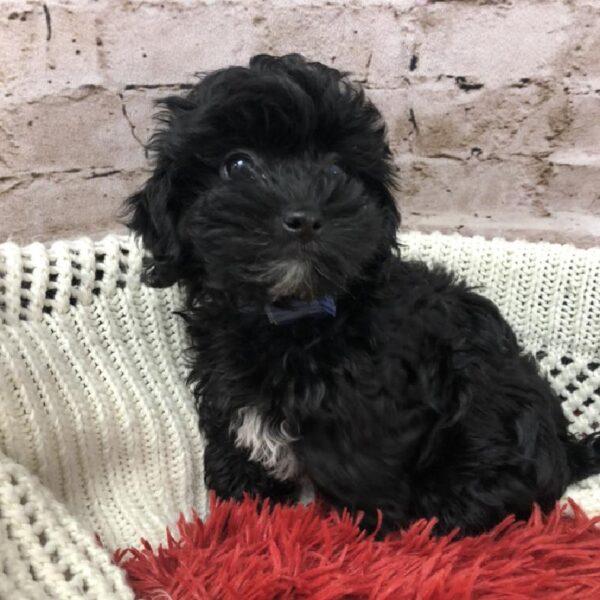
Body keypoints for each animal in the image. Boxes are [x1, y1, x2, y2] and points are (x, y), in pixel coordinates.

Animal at [126, 54, 600, 536]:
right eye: (237, 165)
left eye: (336, 170)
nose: (304, 218)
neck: (291, 317)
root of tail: (566, 450)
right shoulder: (227, 391)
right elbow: (235, 449)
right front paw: (241, 510)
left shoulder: (369, 423)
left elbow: (361, 479)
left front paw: (356, 538)